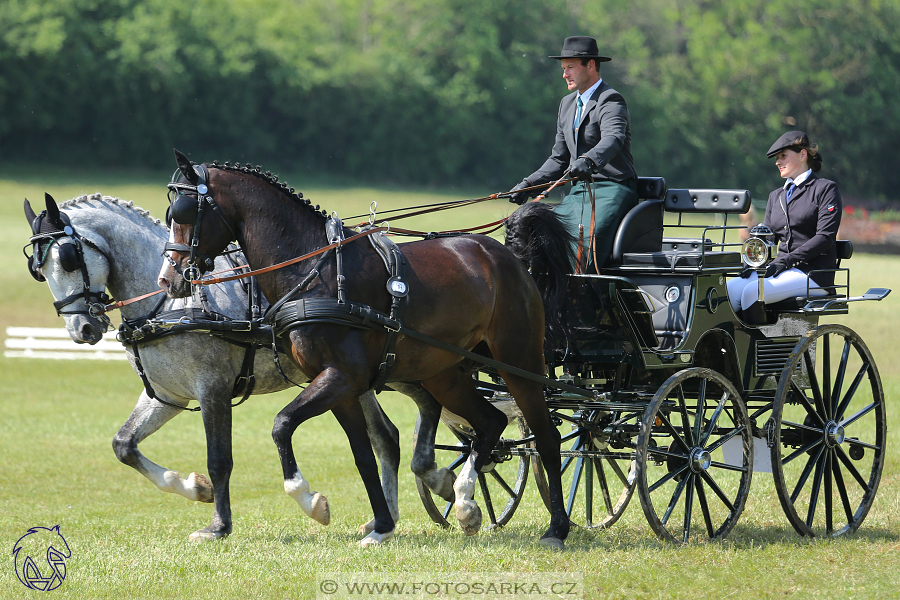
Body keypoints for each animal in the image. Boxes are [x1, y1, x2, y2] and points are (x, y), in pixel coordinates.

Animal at [24, 193, 454, 544]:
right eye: (37, 270)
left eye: (68, 258)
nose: (81, 329)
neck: (173, 302)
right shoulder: (167, 394)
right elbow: (124, 445)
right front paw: (193, 488)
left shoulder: (212, 388)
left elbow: (219, 460)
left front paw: (218, 525)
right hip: (356, 379)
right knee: (386, 437)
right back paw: (389, 516)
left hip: (402, 366)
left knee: (428, 404)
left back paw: (439, 478)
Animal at [159, 151, 568, 548]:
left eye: (184, 212)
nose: (169, 279)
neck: (314, 270)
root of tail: (504, 256)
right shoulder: (340, 387)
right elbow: (364, 457)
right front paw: (382, 526)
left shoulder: (341, 377)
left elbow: (282, 425)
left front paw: (310, 500)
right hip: (446, 374)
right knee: (491, 423)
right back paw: (466, 501)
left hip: (518, 363)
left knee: (548, 438)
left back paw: (557, 528)